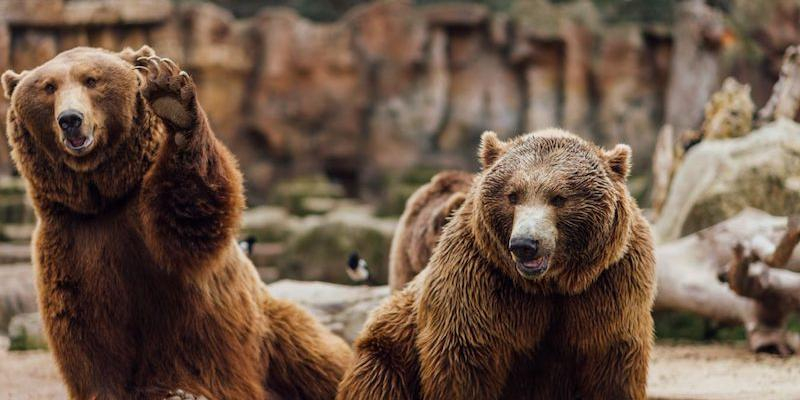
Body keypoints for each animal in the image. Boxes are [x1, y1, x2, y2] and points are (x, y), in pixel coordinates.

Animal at [3, 47, 352, 400]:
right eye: (48, 87)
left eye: (91, 79)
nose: (70, 119)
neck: (104, 199)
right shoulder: (71, 245)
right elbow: (90, 336)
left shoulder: (153, 230)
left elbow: (191, 215)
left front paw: (170, 96)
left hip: (268, 331)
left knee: (315, 357)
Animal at [338, 130, 656, 398]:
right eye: (512, 195)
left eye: (559, 198)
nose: (525, 244)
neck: (550, 285)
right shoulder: (480, 281)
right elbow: (465, 363)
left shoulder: (607, 286)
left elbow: (611, 367)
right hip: (390, 348)